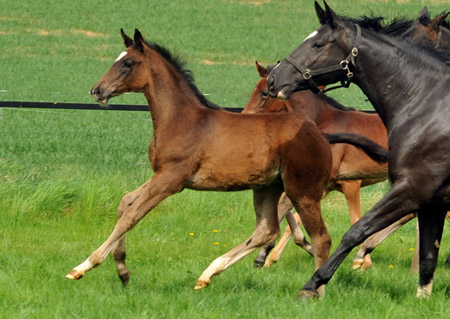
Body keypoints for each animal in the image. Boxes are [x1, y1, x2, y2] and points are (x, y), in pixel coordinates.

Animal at [64, 28, 386, 294]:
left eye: (127, 63)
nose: (97, 90)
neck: (181, 120)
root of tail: (320, 133)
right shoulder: (160, 174)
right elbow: (124, 203)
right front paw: (123, 270)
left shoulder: (171, 180)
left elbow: (132, 215)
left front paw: (83, 266)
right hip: (268, 187)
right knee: (266, 230)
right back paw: (208, 274)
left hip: (302, 191)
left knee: (321, 238)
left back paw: (314, 291)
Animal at [268, 1, 450, 298]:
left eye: (317, 44)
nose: (274, 79)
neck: (428, 104)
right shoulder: (432, 200)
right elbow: (427, 258)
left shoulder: (413, 188)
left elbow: (356, 230)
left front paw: (313, 284)